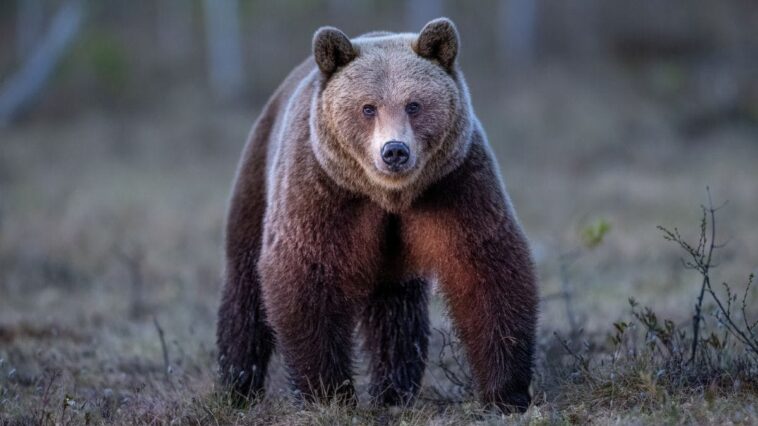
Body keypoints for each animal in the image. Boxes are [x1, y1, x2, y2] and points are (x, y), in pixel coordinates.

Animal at [216, 18, 538, 413]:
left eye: (414, 105)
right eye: (368, 107)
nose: (394, 151)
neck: (388, 195)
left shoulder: (455, 184)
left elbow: (485, 266)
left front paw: (506, 391)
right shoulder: (321, 190)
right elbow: (305, 272)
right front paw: (327, 392)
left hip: (394, 257)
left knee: (396, 312)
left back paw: (394, 391)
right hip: (257, 177)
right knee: (244, 286)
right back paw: (237, 385)